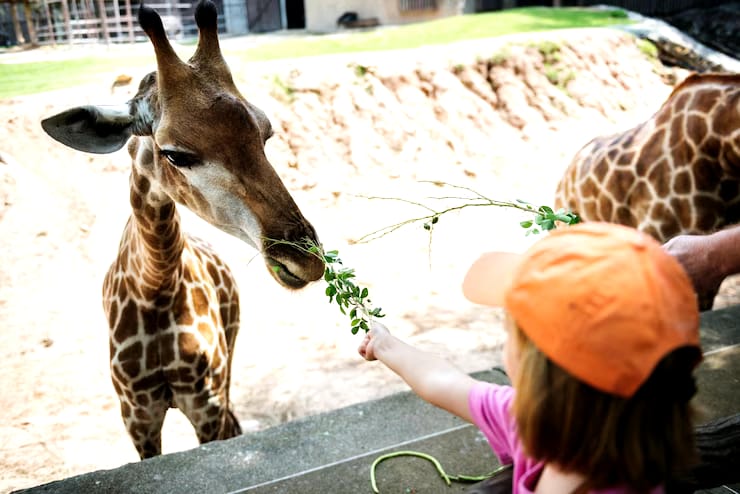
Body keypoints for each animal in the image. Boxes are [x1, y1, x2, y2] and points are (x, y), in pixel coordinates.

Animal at [36, 0, 320, 460]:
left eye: (265, 134)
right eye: (175, 153)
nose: (305, 259)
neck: (156, 286)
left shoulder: (205, 402)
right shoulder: (137, 415)